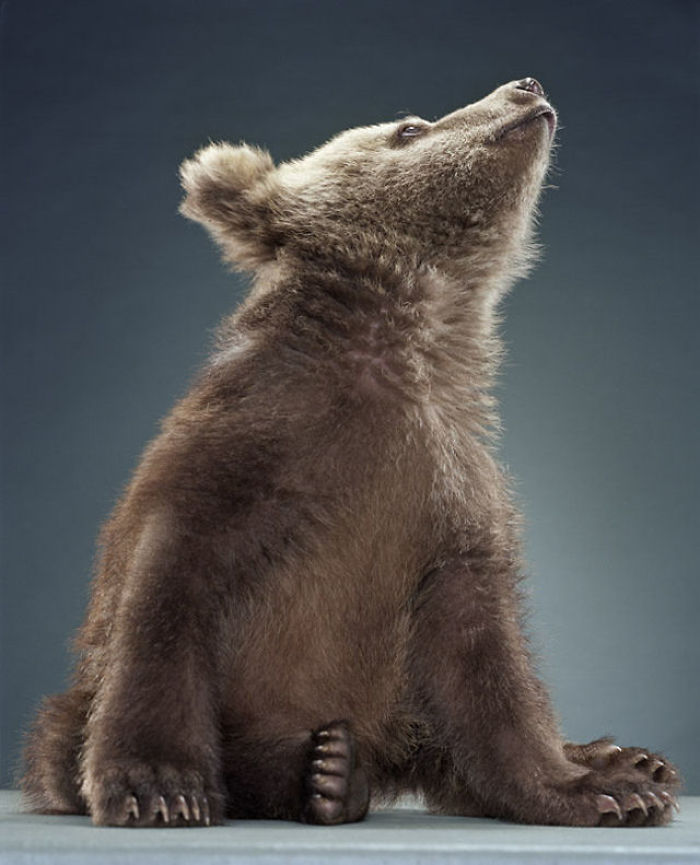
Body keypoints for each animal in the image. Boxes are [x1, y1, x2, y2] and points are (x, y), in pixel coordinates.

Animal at [20, 77, 680, 828]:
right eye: (409, 128)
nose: (525, 86)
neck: (408, 344)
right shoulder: (246, 448)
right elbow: (167, 591)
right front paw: (160, 785)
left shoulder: (449, 492)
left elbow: (486, 664)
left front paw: (600, 788)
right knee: (67, 731)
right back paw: (322, 769)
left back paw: (624, 757)